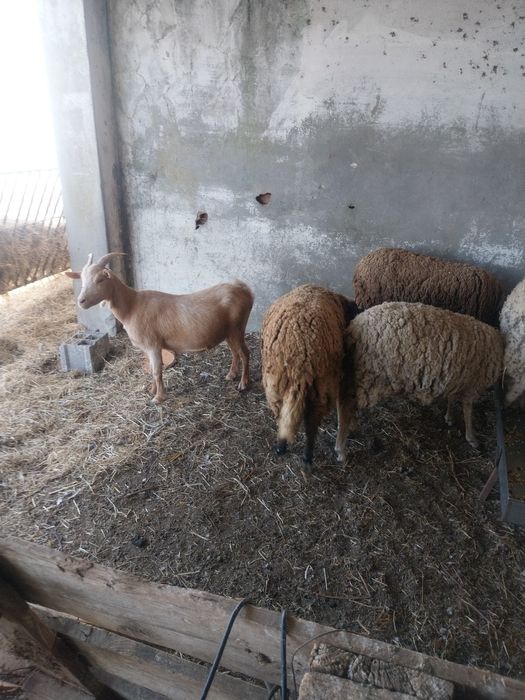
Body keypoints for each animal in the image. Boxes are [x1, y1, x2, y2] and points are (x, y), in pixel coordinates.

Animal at [66, 253, 254, 403]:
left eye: (100, 279)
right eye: (82, 280)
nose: (81, 301)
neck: (132, 306)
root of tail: (244, 289)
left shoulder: (153, 345)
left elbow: (157, 371)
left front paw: (158, 398)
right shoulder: (149, 348)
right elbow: (151, 371)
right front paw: (152, 390)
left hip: (238, 328)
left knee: (245, 353)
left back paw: (243, 384)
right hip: (229, 332)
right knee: (235, 352)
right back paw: (231, 375)